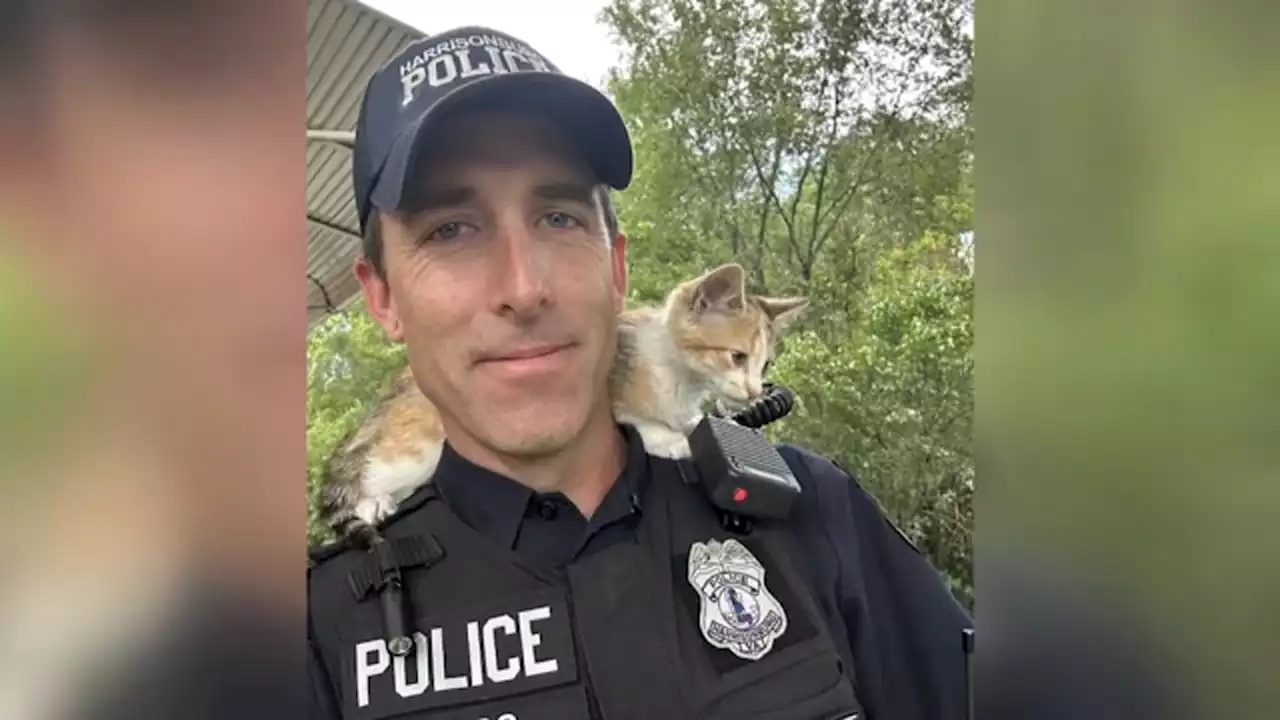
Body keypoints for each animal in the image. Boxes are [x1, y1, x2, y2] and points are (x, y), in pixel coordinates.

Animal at [316, 260, 803, 545]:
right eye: (736, 357)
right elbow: (639, 419)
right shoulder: (603, 390)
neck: (678, 372)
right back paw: (371, 502)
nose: (754, 393)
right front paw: (673, 439)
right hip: (422, 442)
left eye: (764, 364)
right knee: (374, 467)